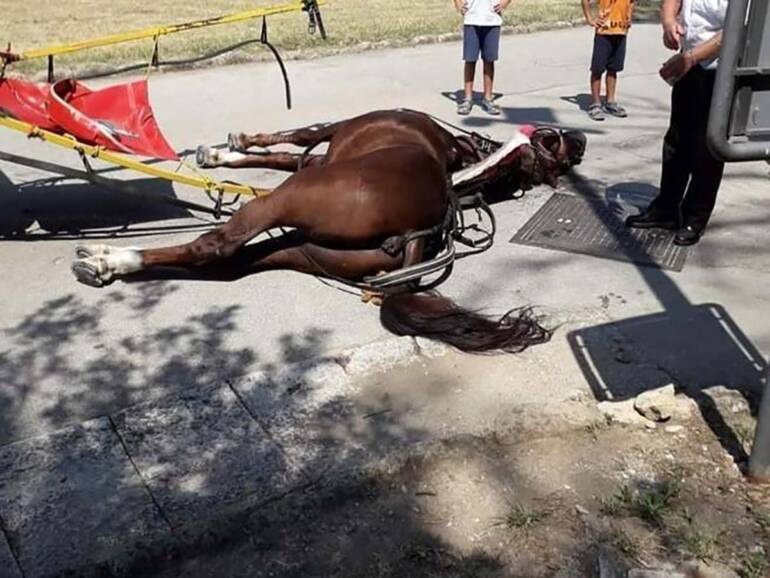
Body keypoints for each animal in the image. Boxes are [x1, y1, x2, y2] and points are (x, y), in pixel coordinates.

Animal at [72, 109, 586, 353]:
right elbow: (282, 154)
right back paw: (113, 263)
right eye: (555, 142)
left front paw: (228, 149)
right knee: (232, 264)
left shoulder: (329, 139)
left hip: (285, 200)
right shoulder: (321, 157)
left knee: (216, 245)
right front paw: (222, 155)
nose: (581, 139)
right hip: (302, 248)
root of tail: (417, 231)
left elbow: (296, 137)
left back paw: (110, 260)